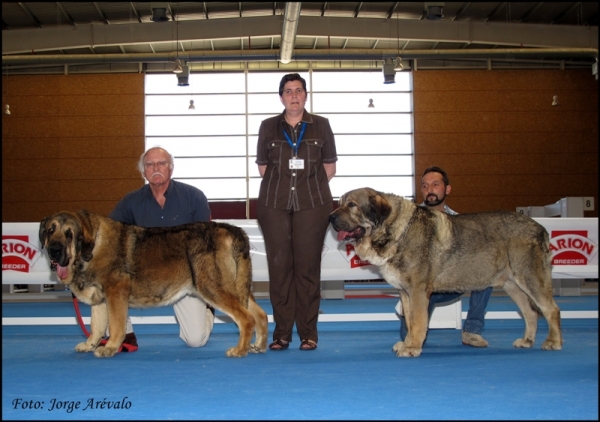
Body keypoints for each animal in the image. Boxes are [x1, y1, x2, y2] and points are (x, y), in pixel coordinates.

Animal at [39, 209, 268, 358]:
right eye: (50, 231)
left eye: (69, 234)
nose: (54, 251)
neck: (92, 245)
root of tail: (232, 230)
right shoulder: (101, 300)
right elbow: (96, 326)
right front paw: (90, 345)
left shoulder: (115, 294)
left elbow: (115, 325)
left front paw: (111, 347)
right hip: (237, 288)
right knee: (261, 315)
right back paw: (259, 345)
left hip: (212, 288)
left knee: (246, 318)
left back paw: (239, 350)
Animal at [328, 188, 564, 356]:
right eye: (339, 203)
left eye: (352, 205)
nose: (330, 218)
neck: (396, 230)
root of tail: (540, 228)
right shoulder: (405, 292)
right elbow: (410, 321)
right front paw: (407, 343)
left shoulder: (417, 291)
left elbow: (418, 321)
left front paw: (412, 347)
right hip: (512, 284)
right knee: (530, 312)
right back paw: (527, 341)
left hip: (529, 278)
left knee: (551, 309)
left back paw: (553, 342)